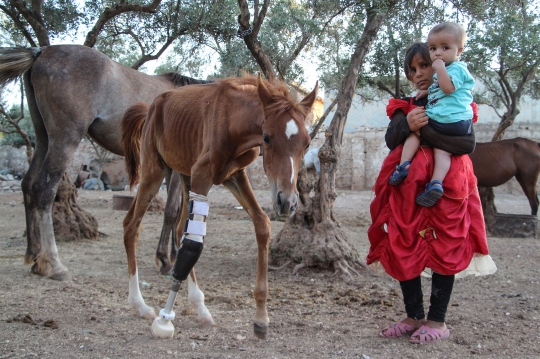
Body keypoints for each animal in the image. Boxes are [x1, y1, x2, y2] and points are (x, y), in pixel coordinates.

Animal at [0, 45, 207, 282]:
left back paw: (34, 255)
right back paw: (53, 265)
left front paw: (172, 255)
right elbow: (172, 211)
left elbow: (182, 211)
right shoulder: (173, 168)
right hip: (65, 139)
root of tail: (41, 52)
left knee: (27, 184)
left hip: (43, 139)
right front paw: (165, 259)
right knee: (43, 189)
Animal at [121, 74, 318, 340]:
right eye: (266, 137)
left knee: (179, 225)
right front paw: (165, 317)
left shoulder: (234, 175)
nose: (287, 202)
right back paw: (141, 304)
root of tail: (152, 106)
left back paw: (197, 305)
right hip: (154, 170)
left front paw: (261, 318)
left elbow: (262, 224)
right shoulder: (203, 173)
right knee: (132, 225)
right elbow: (194, 241)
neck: (234, 120)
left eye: (307, 143)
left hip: (185, 174)